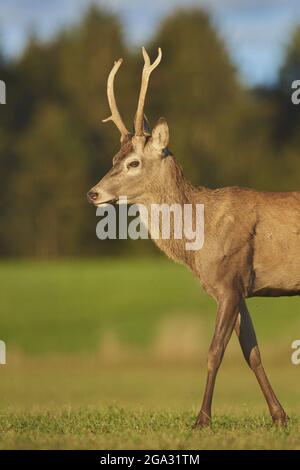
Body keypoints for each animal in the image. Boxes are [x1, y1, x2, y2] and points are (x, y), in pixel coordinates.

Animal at [87, 46, 300, 426]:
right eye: (114, 157)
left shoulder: (228, 282)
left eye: (133, 163)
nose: (93, 194)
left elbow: (214, 351)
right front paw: (279, 415)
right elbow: (252, 352)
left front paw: (202, 418)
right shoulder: (239, 289)